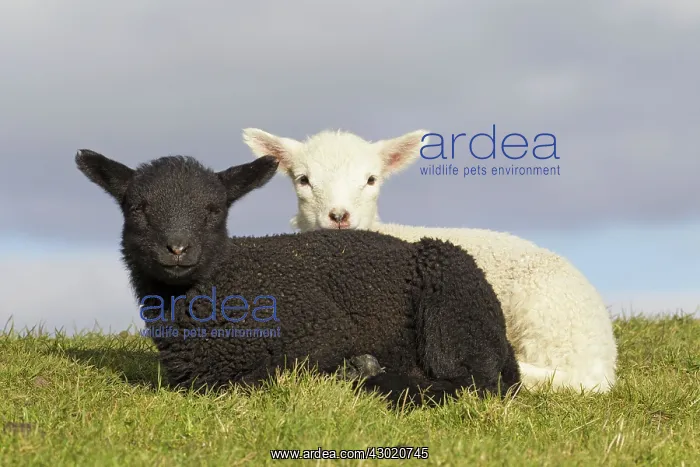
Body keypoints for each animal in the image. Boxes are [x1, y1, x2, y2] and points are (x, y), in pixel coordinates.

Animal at [74, 149, 521, 407]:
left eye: (214, 209)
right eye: (138, 208)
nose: (178, 248)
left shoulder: (322, 332)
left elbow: (269, 374)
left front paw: (355, 371)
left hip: (451, 304)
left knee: (472, 381)